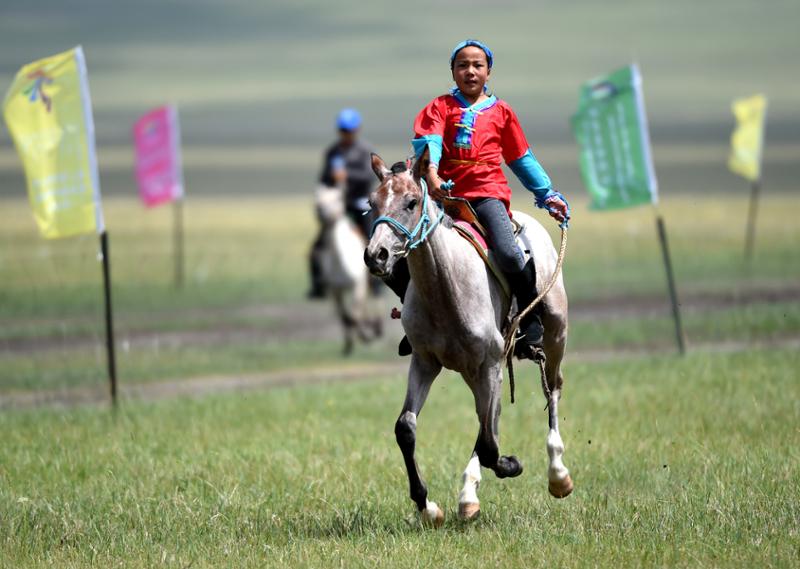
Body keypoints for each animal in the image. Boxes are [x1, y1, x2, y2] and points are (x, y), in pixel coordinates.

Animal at [314, 185, 383, 355]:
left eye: (338, 198)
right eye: (318, 198)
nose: (320, 211)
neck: (340, 260)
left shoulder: (357, 286)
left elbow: (354, 316)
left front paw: (365, 337)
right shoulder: (335, 290)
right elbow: (345, 317)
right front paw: (348, 345)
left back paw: (377, 329)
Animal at [363, 153, 572, 526]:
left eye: (411, 202)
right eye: (372, 203)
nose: (377, 255)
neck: (446, 286)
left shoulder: (488, 363)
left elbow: (490, 443)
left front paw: (511, 465)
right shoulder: (425, 362)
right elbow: (406, 428)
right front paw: (428, 507)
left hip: (553, 335)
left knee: (552, 389)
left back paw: (557, 474)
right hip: (473, 371)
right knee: (488, 417)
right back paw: (467, 496)